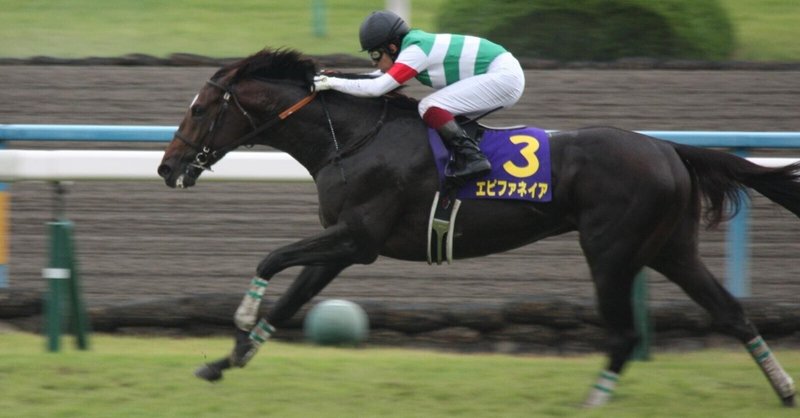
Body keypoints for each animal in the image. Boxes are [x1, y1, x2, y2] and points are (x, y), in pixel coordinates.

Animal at [159, 49, 796, 408]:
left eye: (199, 110)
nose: (167, 168)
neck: (354, 139)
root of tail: (668, 149)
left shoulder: (358, 240)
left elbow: (270, 260)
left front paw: (240, 320)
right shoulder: (342, 246)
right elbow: (292, 300)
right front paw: (223, 363)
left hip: (611, 251)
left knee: (623, 335)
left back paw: (593, 402)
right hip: (669, 248)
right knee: (733, 314)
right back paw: (784, 389)